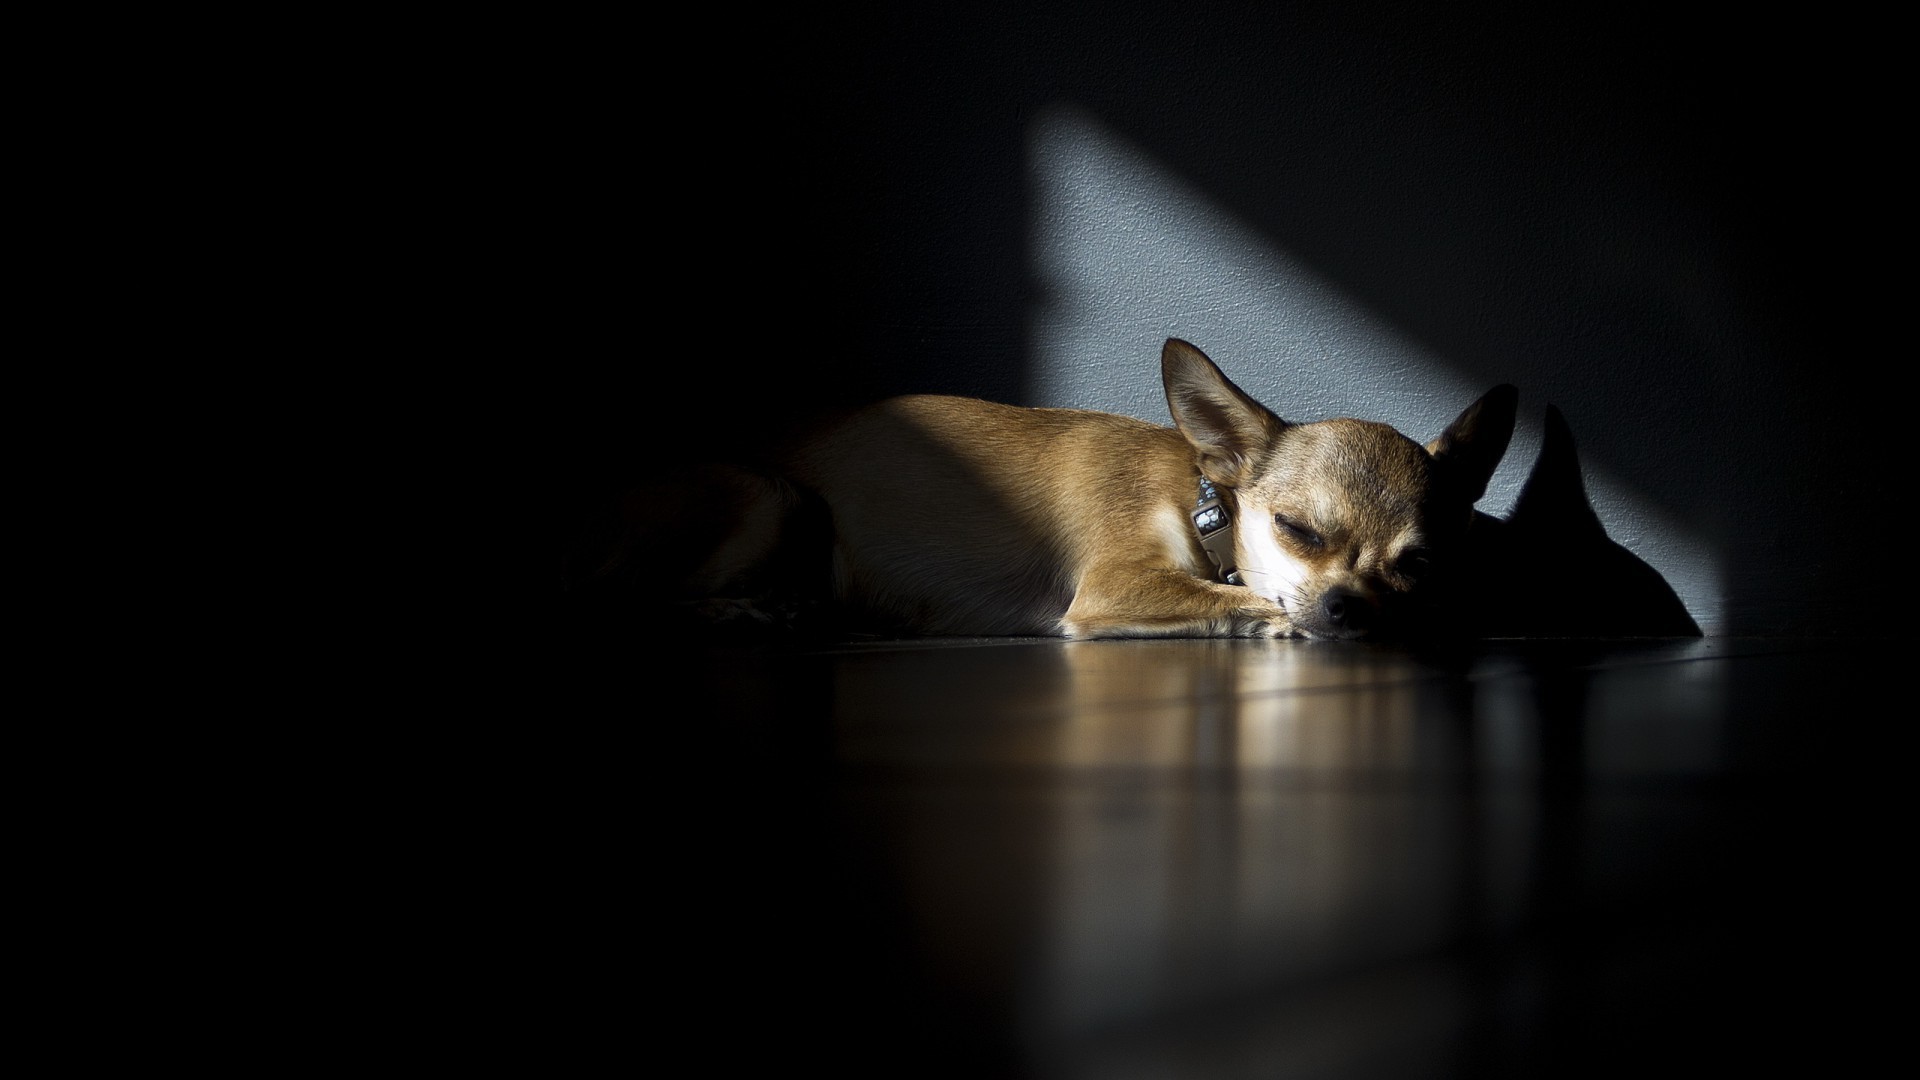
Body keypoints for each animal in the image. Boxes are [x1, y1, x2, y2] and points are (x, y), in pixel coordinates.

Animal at [660, 340, 1512, 634]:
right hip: (772, 495)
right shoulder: (1114, 585)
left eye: (1418, 564)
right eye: (1297, 530)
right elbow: (1250, 599)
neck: (1197, 502)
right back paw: (754, 609)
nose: (1351, 608)